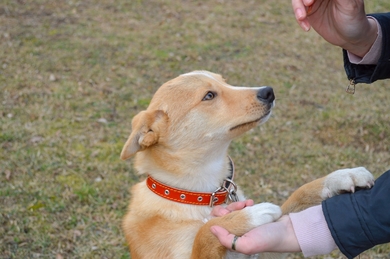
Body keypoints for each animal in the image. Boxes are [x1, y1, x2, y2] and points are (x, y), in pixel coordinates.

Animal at [119, 71, 374, 259]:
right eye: (209, 96)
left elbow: (298, 197)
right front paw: (249, 215)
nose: (268, 91)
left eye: (225, 81)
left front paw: (340, 177)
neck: (202, 194)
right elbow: (205, 232)